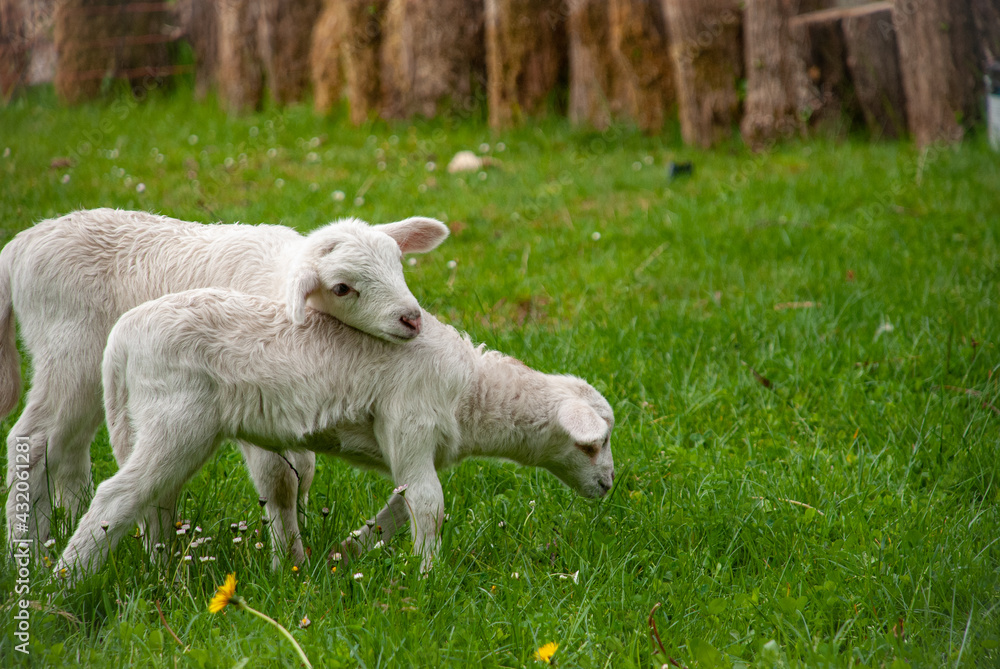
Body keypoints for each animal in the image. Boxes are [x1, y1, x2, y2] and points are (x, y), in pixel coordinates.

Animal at [0, 207, 446, 564]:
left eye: (398, 264)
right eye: (342, 287)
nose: (412, 318)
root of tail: (20, 245)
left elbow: (305, 469)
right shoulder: (254, 397)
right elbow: (279, 480)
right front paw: (290, 562)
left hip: (92, 373)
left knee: (70, 447)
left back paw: (67, 524)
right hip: (68, 351)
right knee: (32, 438)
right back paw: (27, 549)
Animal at [56, 290, 616, 576]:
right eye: (592, 443)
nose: (609, 486)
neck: (473, 393)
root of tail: (122, 337)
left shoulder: (416, 451)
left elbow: (400, 507)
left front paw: (347, 554)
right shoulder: (411, 424)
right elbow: (430, 505)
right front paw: (429, 577)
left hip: (152, 422)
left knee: (155, 498)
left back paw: (163, 573)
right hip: (177, 418)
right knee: (117, 495)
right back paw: (65, 581)